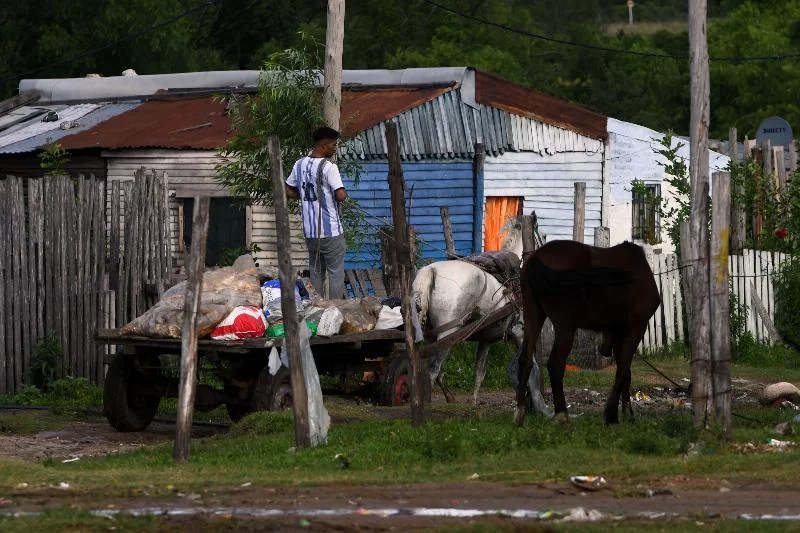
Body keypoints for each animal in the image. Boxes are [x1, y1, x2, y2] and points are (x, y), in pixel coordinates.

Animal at [412, 216, 552, 416]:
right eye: (544, 237)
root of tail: (431, 270)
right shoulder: (520, 333)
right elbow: (526, 365)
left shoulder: (486, 340)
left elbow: (480, 370)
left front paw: (472, 399)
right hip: (448, 334)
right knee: (433, 370)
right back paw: (427, 407)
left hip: (431, 336)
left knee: (434, 370)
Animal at [516, 240, 660, 424]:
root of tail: (536, 258)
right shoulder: (636, 328)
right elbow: (622, 371)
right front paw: (612, 415)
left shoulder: (618, 332)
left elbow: (626, 373)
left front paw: (626, 413)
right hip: (565, 326)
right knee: (555, 364)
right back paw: (562, 414)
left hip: (533, 316)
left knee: (525, 359)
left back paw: (519, 413)